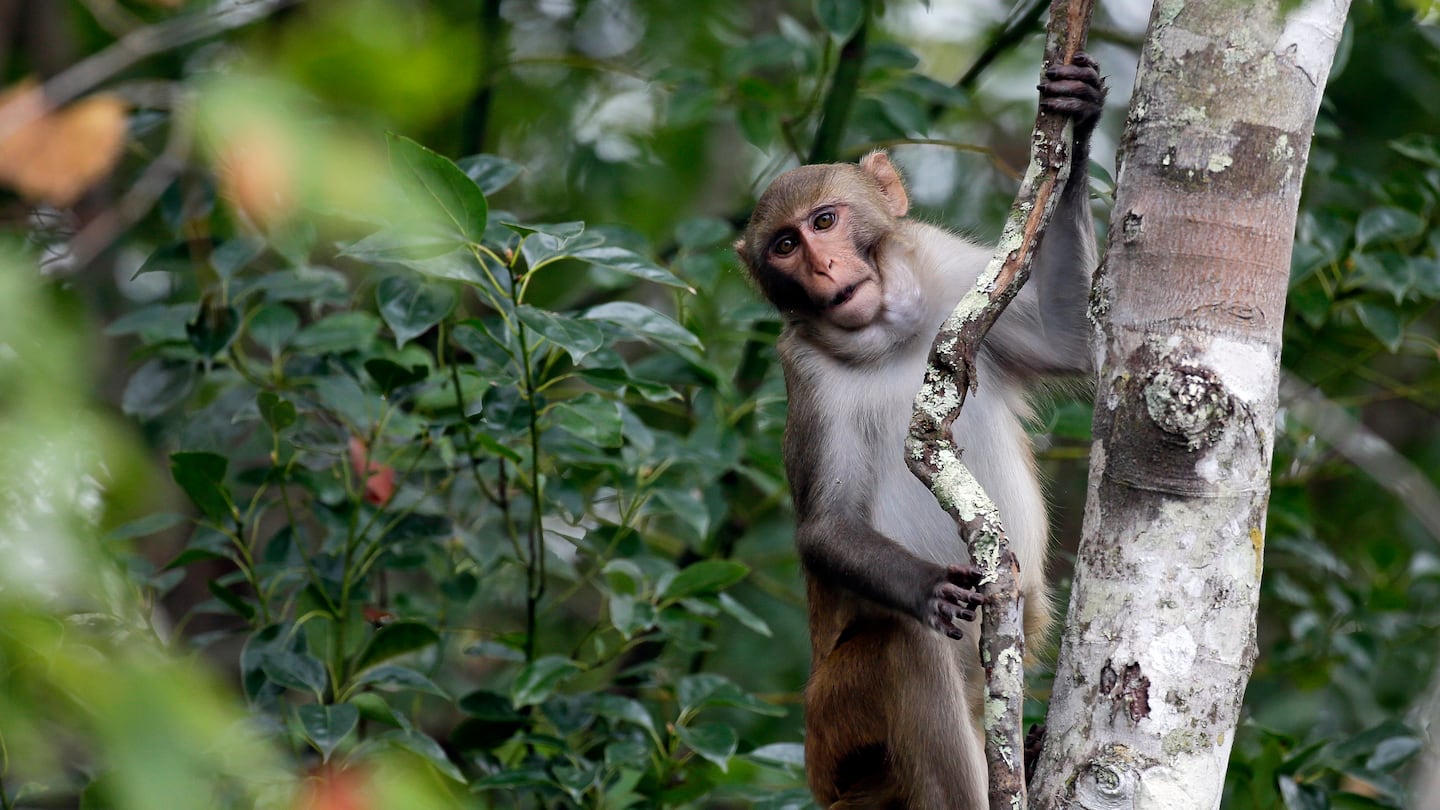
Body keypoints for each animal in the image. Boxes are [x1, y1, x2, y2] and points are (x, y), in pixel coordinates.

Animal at [737, 56, 1105, 807]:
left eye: (824, 221)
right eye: (785, 245)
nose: (822, 268)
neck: (890, 338)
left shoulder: (956, 274)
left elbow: (1072, 340)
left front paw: (1079, 118)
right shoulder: (806, 375)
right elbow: (827, 526)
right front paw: (929, 587)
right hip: (838, 725)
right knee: (905, 649)